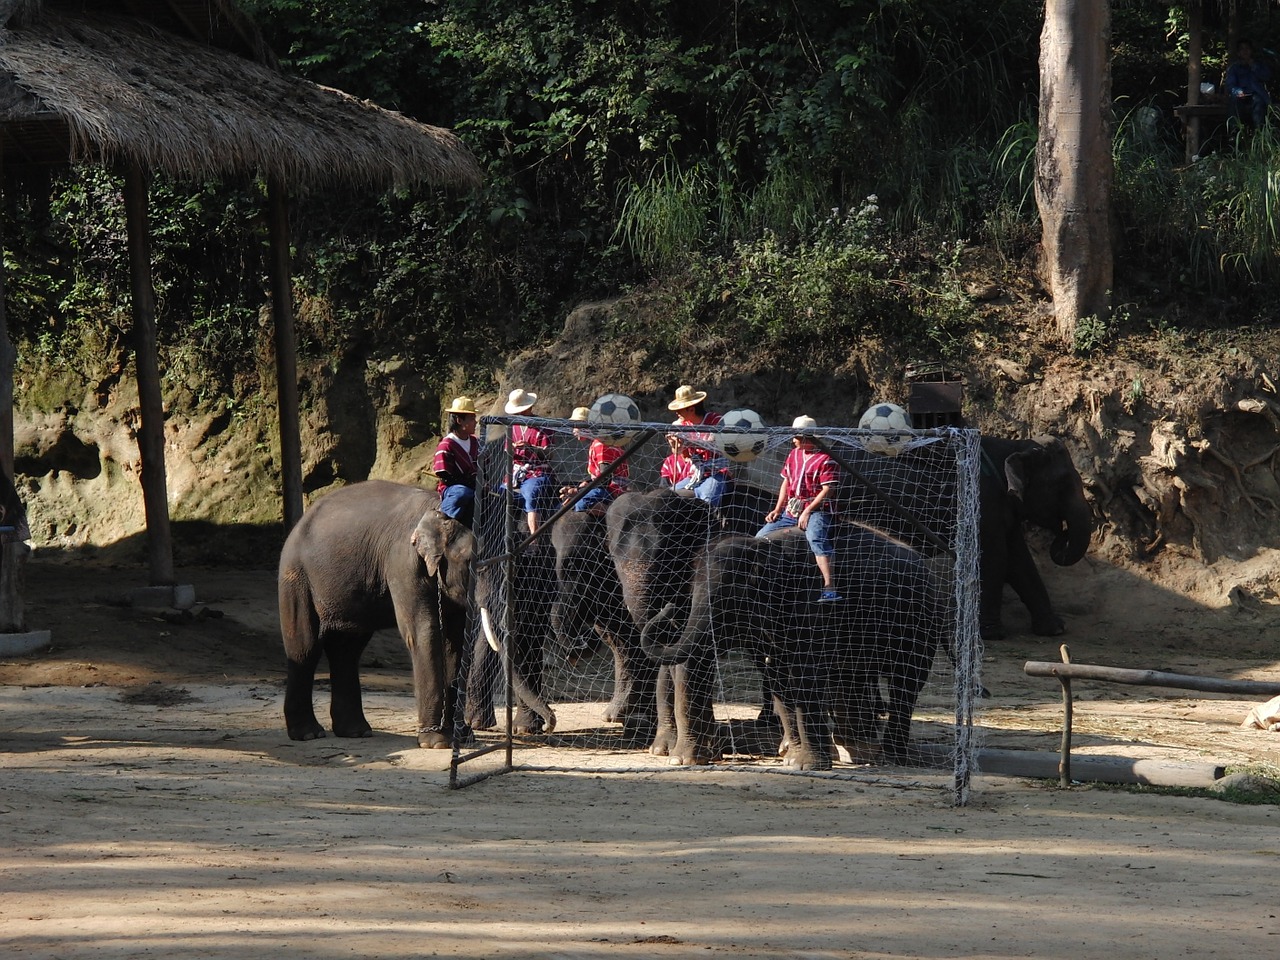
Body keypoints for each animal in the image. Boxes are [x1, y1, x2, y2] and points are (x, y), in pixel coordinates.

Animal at [640, 527, 942, 773]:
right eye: (693, 586)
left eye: (732, 594)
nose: (669, 608)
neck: (764, 548)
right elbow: (779, 679)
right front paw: (792, 761)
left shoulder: (811, 607)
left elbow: (803, 676)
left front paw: (806, 765)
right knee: (851, 679)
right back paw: (855, 748)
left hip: (920, 621)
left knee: (905, 684)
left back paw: (890, 757)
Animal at [977, 435, 1090, 647]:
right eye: (1062, 486)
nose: (1062, 532)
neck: (1013, 445)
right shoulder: (983, 503)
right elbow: (994, 557)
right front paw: (992, 634)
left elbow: (1019, 560)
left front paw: (1055, 629)